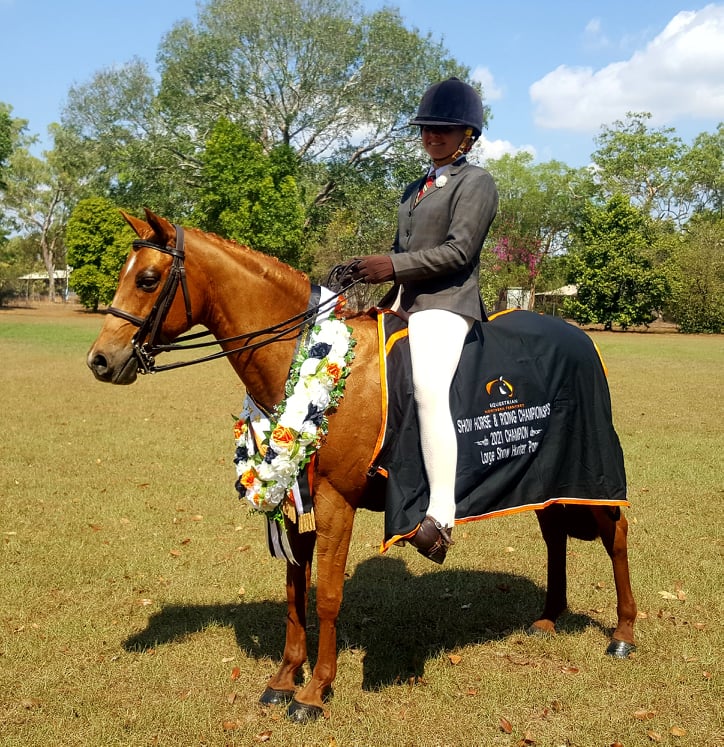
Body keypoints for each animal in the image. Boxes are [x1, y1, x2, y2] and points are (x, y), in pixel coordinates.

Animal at [87, 210, 636, 724]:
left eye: (148, 279)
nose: (100, 360)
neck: (310, 359)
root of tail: (576, 334)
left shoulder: (336, 500)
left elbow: (328, 595)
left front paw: (314, 691)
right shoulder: (296, 500)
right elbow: (295, 592)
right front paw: (284, 678)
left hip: (590, 471)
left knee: (616, 535)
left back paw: (624, 632)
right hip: (547, 479)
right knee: (555, 534)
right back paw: (549, 617)